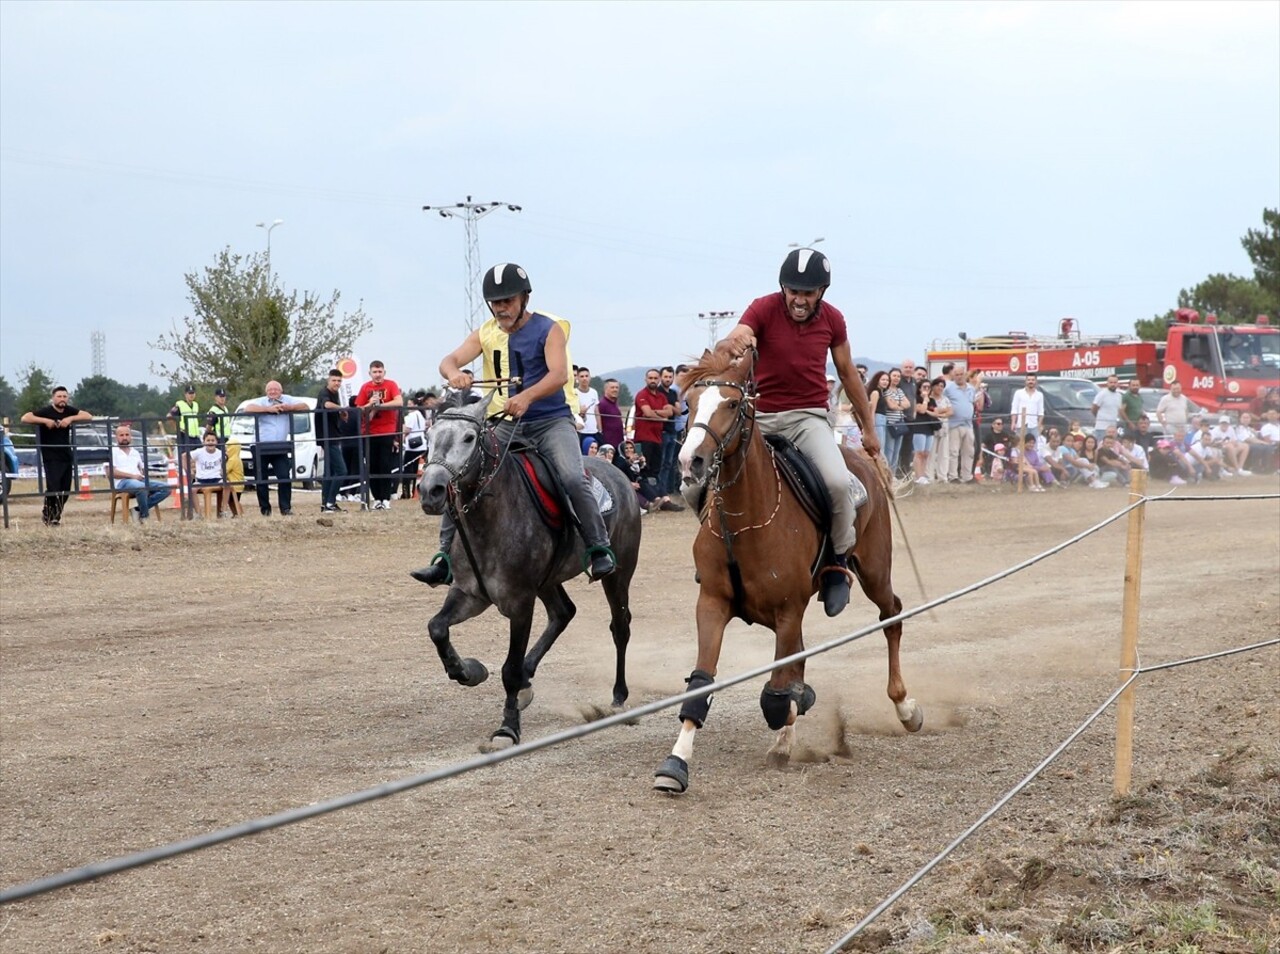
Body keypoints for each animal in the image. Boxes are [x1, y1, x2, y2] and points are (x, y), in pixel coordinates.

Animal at [417, 396, 640, 747]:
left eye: (468, 438)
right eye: (430, 436)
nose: (431, 490)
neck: (491, 517)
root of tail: (620, 476)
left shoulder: (521, 602)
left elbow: (508, 669)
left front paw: (508, 727)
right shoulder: (469, 594)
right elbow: (437, 627)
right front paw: (468, 671)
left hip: (619, 573)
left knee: (620, 626)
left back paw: (618, 694)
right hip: (548, 581)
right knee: (563, 612)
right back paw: (527, 678)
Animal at [660, 348, 921, 788]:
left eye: (732, 404)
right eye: (690, 403)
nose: (689, 461)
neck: (744, 521)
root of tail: (861, 460)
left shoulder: (787, 610)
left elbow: (777, 693)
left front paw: (790, 719)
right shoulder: (712, 603)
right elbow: (702, 680)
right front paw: (676, 762)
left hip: (874, 572)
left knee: (892, 617)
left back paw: (905, 707)